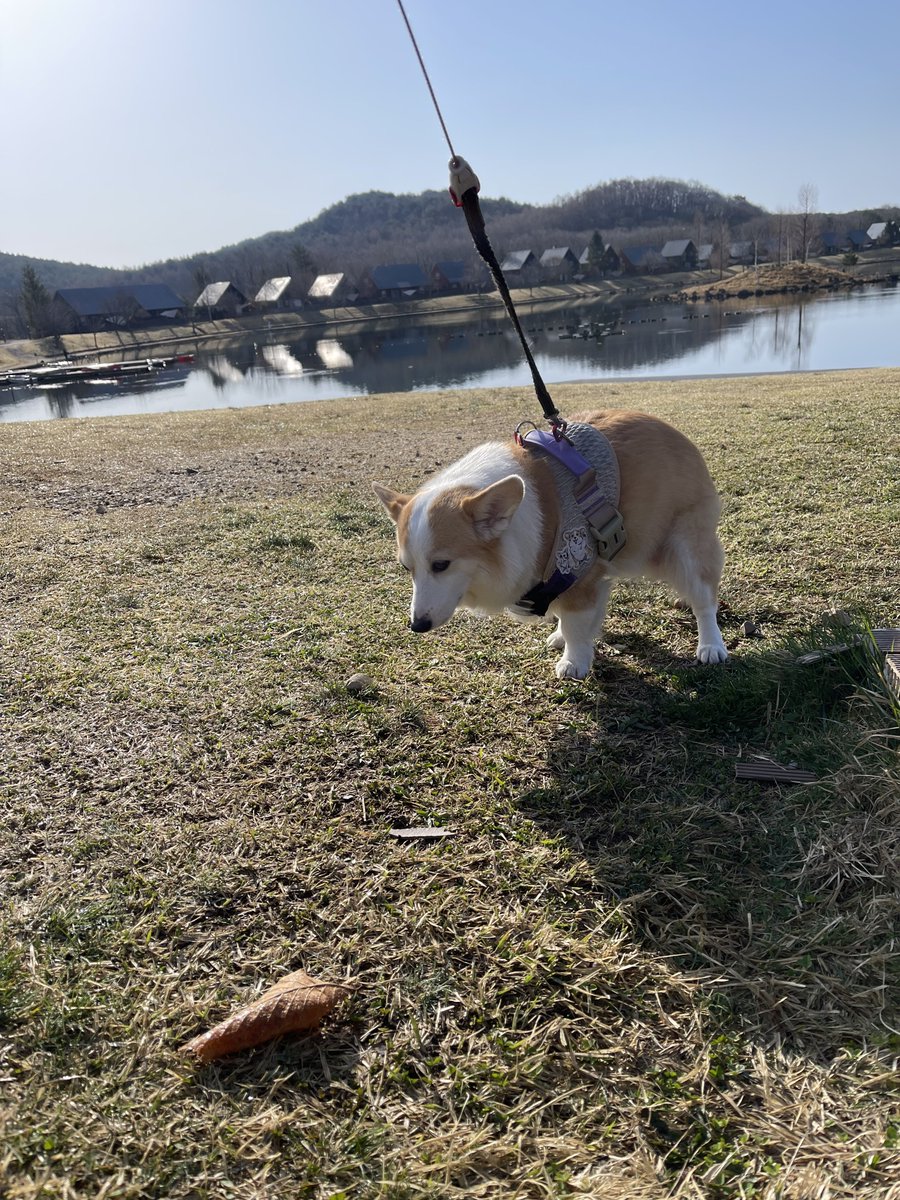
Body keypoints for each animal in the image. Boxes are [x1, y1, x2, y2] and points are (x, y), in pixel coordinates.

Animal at [374, 410, 734, 676]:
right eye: (407, 568)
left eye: (441, 565)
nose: (417, 625)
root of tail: (681, 438)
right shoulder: (574, 577)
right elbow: (571, 617)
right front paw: (566, 638)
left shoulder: (578, 572)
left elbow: (575, 622)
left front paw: (574, 661)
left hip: (687, 549)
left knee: (704, 600)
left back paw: (710, 646)